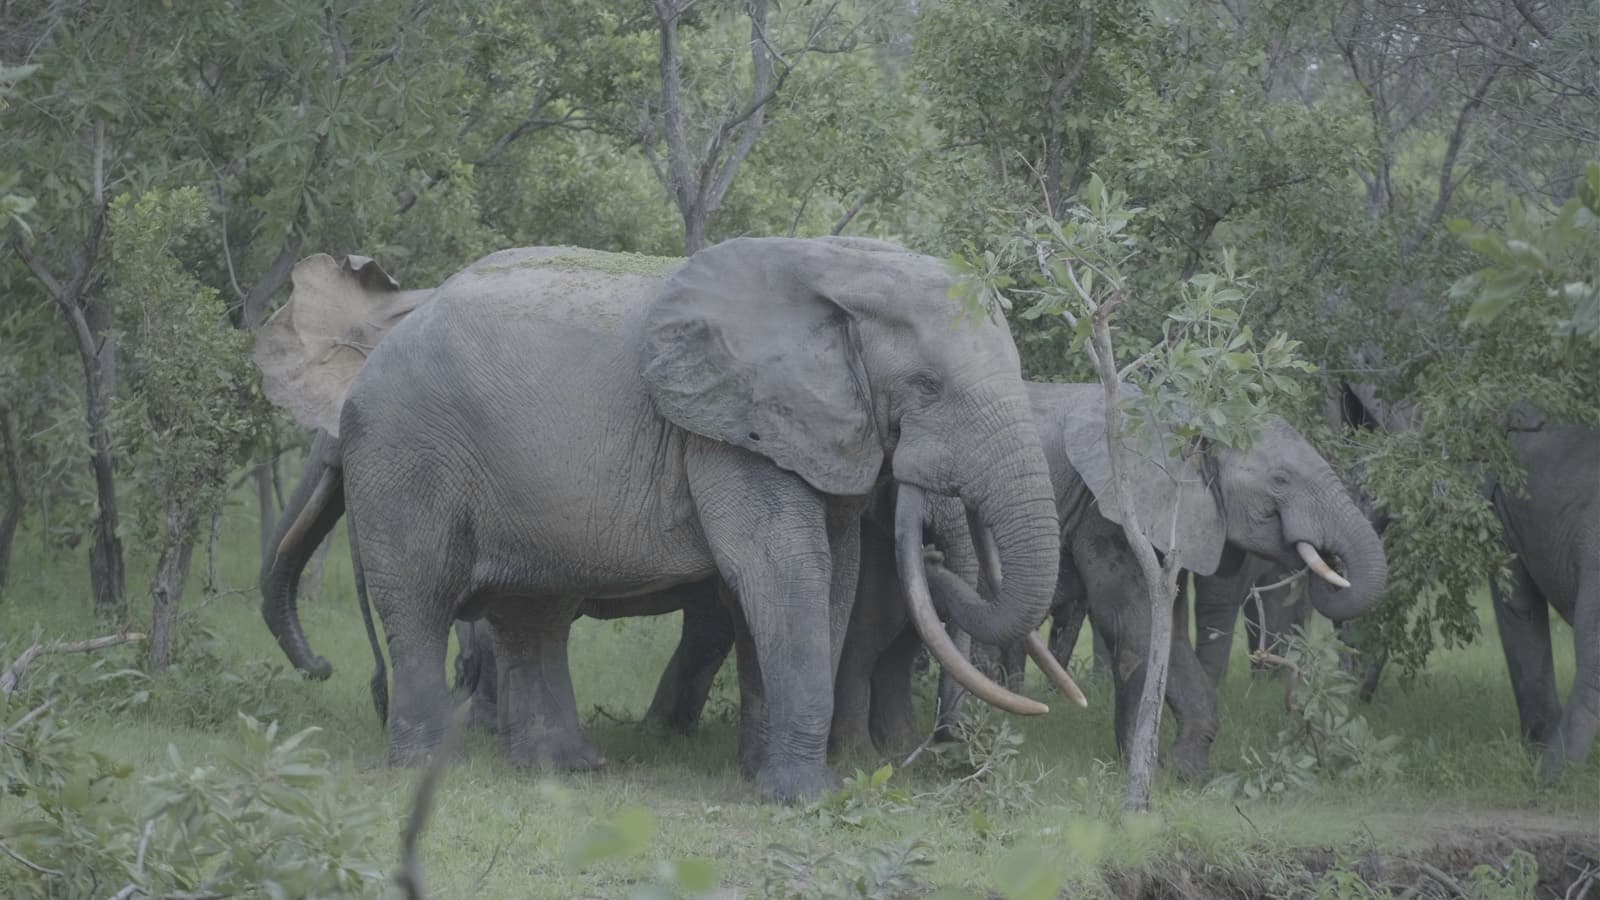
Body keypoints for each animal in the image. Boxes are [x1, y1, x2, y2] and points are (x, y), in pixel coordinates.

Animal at [251, 238, 1066, 802]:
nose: (934, 552)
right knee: (423, 602)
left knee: (533, 614)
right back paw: (426, 767)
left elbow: (826, 578)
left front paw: (761, 780)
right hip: (406, 454)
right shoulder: (728, 432)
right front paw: (807, 799)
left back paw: (567, 768)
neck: (837, 268)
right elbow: (783, 571)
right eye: (928, 385)